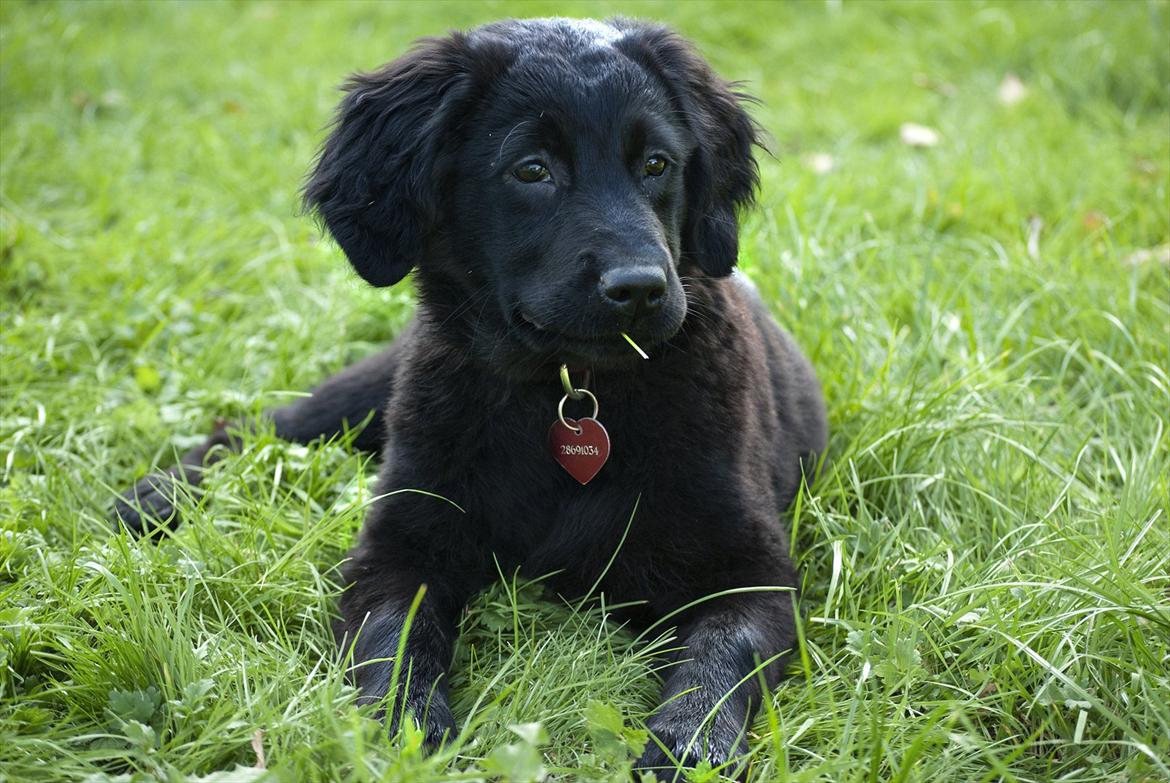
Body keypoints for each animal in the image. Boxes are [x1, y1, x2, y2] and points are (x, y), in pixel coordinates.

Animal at [114, 16, 828, 767]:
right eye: (532, 170)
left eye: (658, 164)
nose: (640, 289)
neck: (570, 393)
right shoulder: (399, 541)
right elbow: (395, 633)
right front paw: (402, 722)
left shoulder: (752, 568)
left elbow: (720, 656)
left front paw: (688, 747)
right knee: (271, 423)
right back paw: (158, 494)